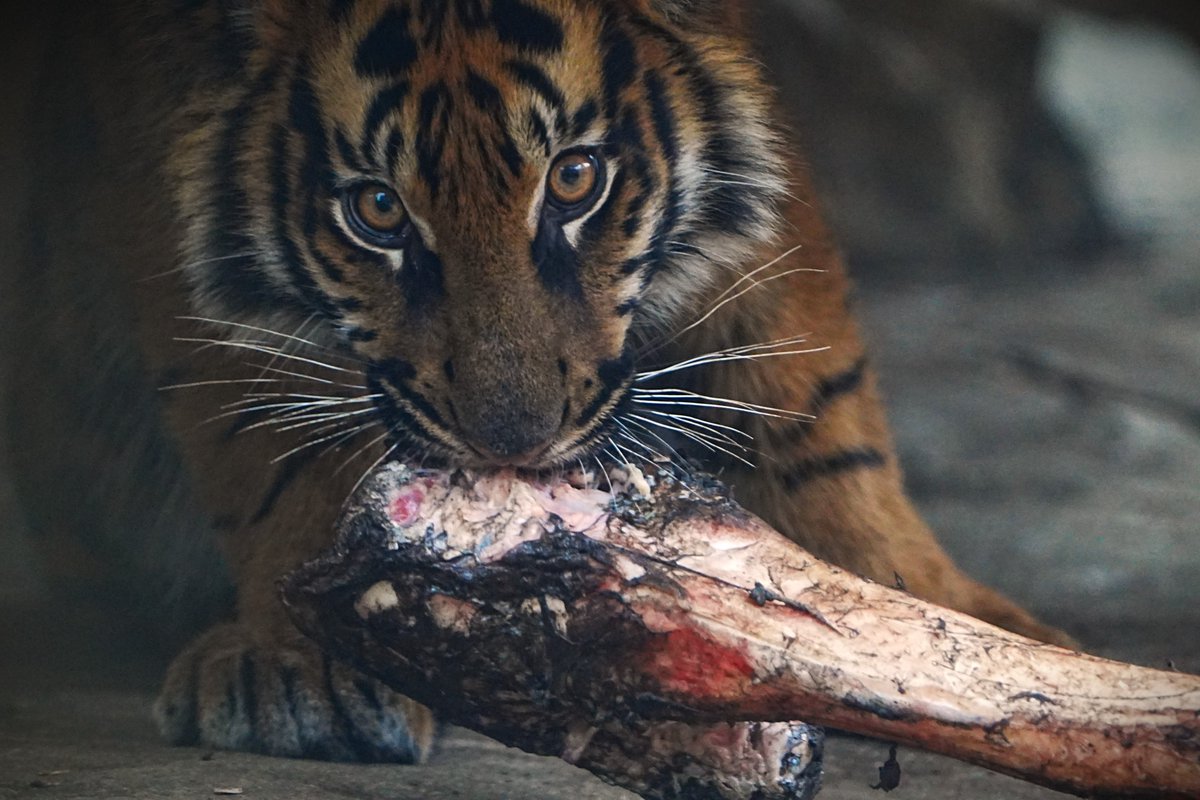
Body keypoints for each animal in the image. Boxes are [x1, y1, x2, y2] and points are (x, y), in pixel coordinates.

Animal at [5, 0, 1074, 765]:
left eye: (575, 180)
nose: (514, 445)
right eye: (376, 210)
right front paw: (307, 659)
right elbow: (262, 414)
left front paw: (942, 627)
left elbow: (806, 382)